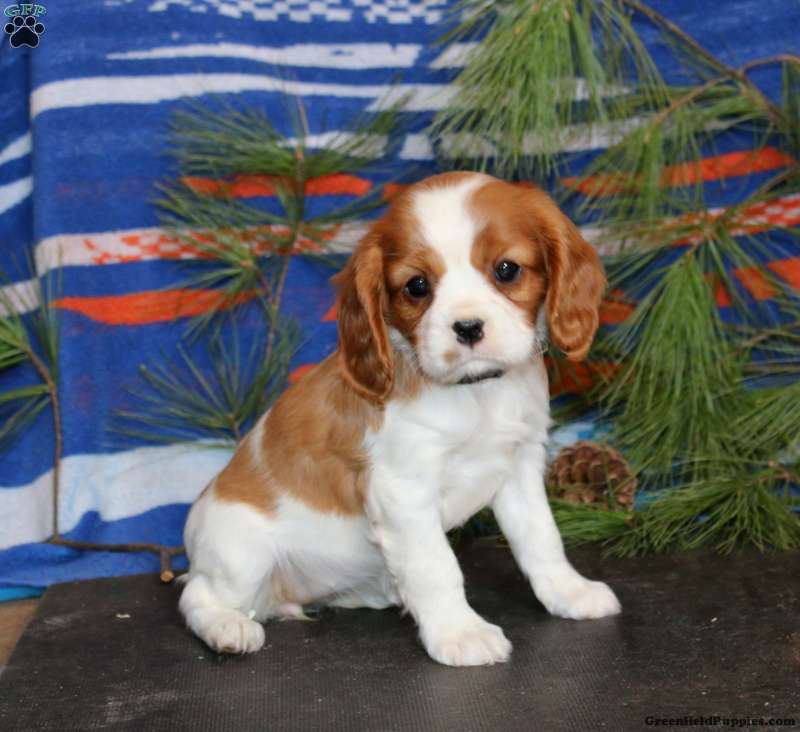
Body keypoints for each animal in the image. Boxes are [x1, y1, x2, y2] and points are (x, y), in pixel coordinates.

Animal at [179, 172, 621, 667]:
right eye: (417, 286)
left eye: (507, 269)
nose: (468, 328)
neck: (475, 392)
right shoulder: (402, 490)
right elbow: (435, 565)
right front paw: (459, 633)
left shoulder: (520, 467)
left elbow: (541, 537)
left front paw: (569, 592)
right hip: (240, 556)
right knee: (197, 596)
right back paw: (228, 628)